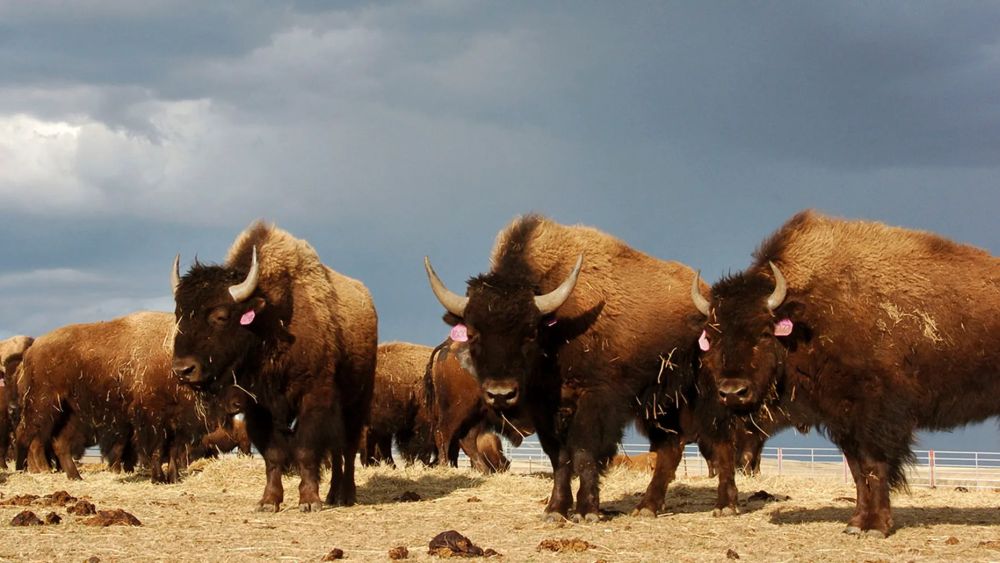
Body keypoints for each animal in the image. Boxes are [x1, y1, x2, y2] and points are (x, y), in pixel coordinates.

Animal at [14, 310, 221, 482]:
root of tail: (33, 348)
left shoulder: (177, 422)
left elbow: (173, 451)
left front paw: (174, 478)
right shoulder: (152, 418)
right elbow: (156, 450)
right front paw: (158, 478)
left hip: (71, 413)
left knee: (59, 443)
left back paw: (75, 476)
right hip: (43, 405)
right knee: (27, 435)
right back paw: (33, 470)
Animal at [170, 223, 376, 512]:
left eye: (221, 316)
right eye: (178, 314)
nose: (183, 370)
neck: (270, 320)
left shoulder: (312, 397)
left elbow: (306, 450)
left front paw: (309, 501)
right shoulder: (258, 408)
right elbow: (273, 454)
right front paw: (269, 501)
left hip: (356, 402)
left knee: (346, 447)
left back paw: (345, 495)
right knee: (337, 450)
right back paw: (334, 494)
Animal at [426, 214, 740, 524]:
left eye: (530, 332)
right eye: (473, 333)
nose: (500, 393)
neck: (557, 328)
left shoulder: (594, 400)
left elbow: (584, 452)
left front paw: (587, 510)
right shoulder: (545, 411)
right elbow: (559, 458)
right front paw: (555, 510)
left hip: (706, 396)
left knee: (721, 443)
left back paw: (725, 505)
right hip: (661, 405)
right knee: (670, 447)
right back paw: (647, 507)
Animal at [692, 210, 1000, 536]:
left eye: (764, 332)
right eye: (712, 336)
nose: (732, 392)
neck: (810, 314)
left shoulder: (876, 419)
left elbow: (874, 467)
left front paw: (876, 526)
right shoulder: (843, 421)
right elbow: (857, 472)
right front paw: (856, 523)